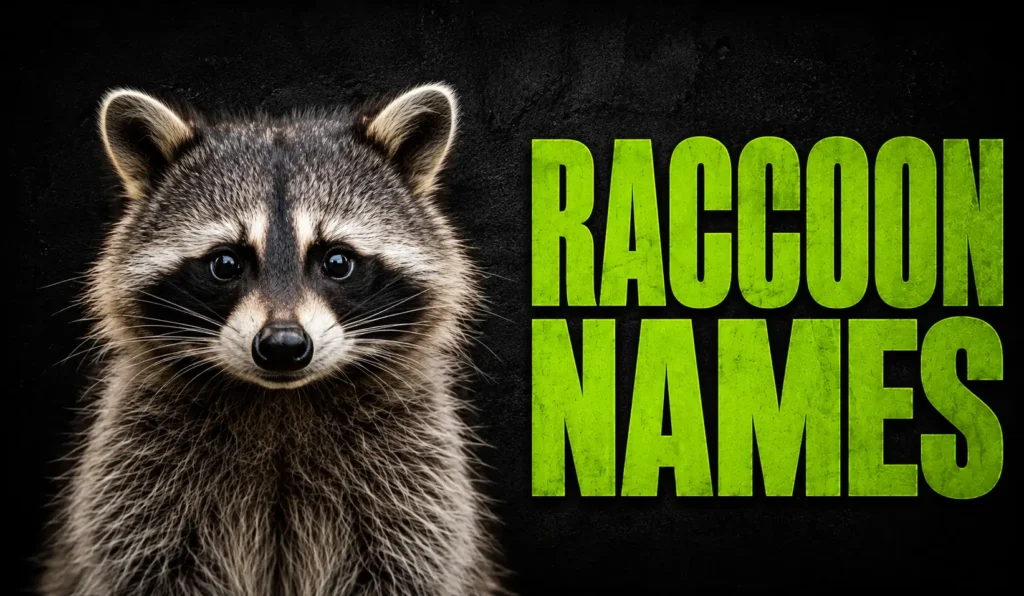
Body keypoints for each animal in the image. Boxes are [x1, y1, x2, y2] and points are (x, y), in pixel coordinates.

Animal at [40, 84, 504, 596]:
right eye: (225, 263)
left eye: (337, 261)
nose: (283, 346)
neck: (282, 402)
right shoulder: (135, 475)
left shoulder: (416, 476)